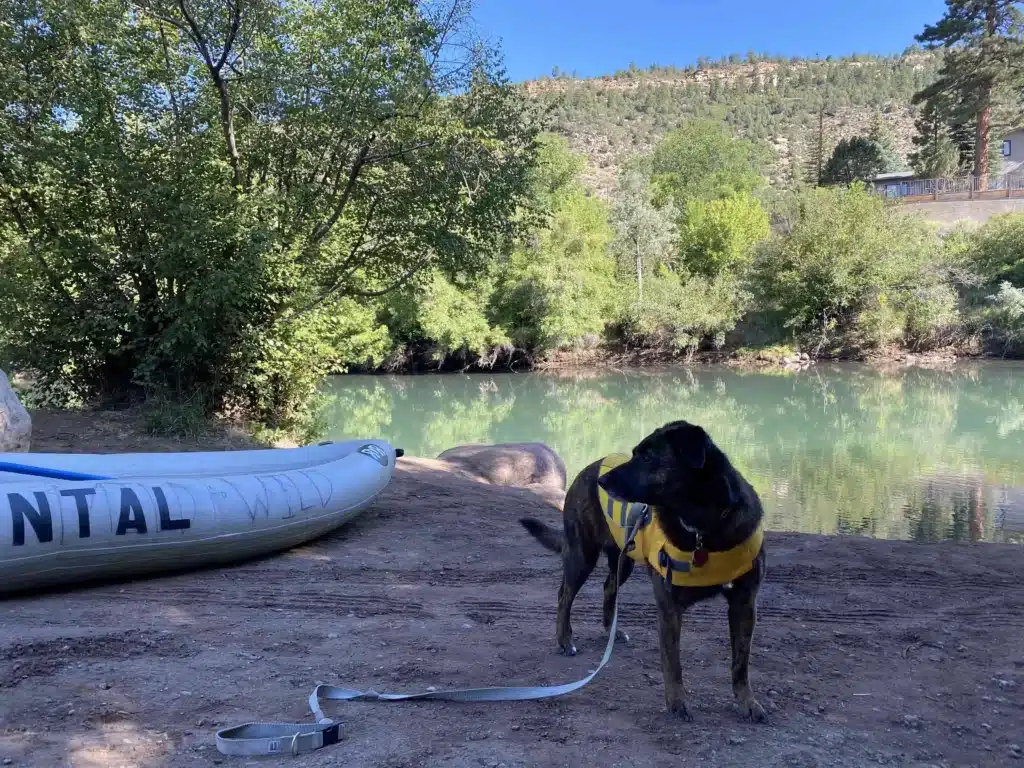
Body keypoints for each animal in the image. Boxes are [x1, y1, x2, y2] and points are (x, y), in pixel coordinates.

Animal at [524, 421, 765, 720]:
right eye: (634, 453)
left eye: (648, 458)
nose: (603, 482)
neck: (703, 528)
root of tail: (588, 469)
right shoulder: (669, 606)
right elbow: (673, 663)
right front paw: (677, 703)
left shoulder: (744, 604)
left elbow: (741, 664)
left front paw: (747, 702)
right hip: (582, 554)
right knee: (564, 596)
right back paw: (565, 640)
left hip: (623, 559)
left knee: (608, 587)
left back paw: (611, 631)